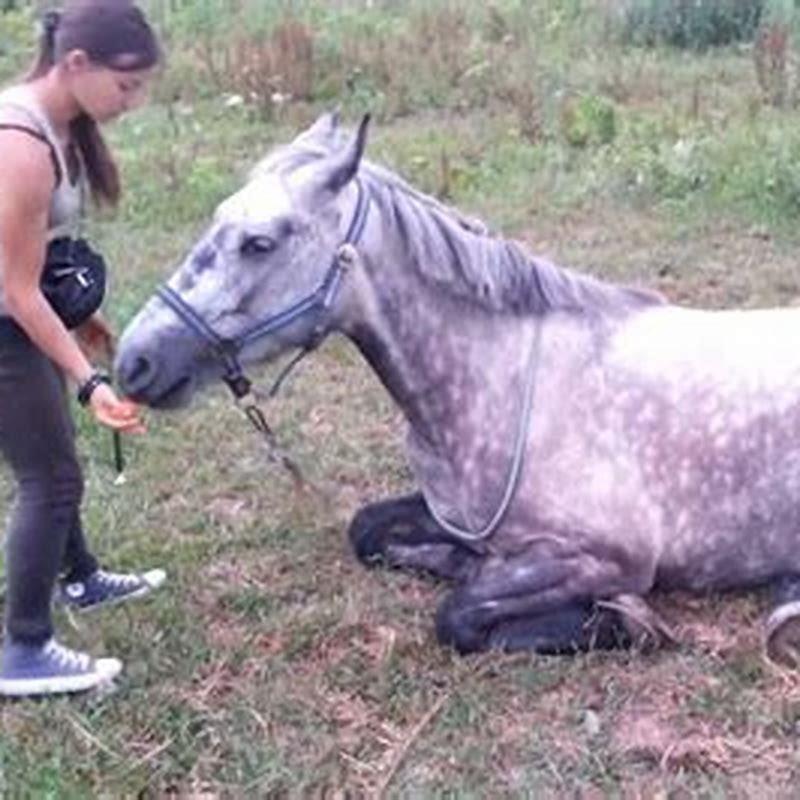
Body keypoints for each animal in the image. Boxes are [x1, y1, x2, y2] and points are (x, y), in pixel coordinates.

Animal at [115, 113, 800, 664]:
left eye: (260, 243)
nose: (133, 363)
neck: (504, 381)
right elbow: (370, 532)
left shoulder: (611, 557)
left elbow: (459, 614)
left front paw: (623, 622)